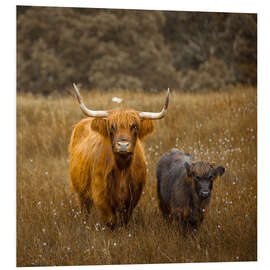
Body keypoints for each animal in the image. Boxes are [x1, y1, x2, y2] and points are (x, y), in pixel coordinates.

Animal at [70, 83, 170, 229]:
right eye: (112, 127)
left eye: (135, 126)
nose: (123, 145)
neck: (122, 168)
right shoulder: (101, 196)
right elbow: (111, 222)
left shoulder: (132, 198)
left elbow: (124, 221)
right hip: (81, 192)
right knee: (85, 211)